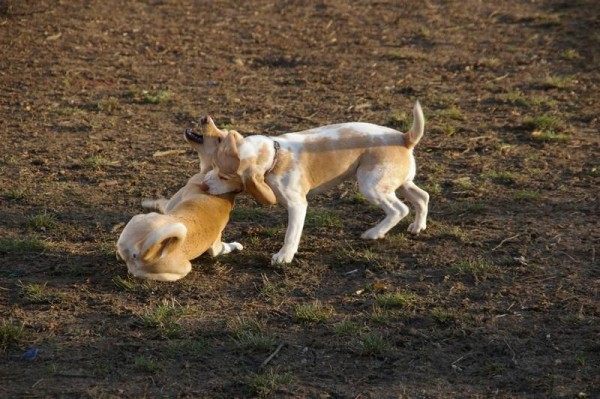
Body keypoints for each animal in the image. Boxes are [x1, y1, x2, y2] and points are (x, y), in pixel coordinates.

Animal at [200, 101, 426, 266]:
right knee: (422, 197)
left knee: (399, 209)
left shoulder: (297, 205)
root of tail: (404, 137)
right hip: (400, 183)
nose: (203, 185)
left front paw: (284, 257)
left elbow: (291, 234)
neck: (276, 156)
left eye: (224, 176)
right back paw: (417, 227)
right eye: (213, 166)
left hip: (371, 186)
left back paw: (374, 233)